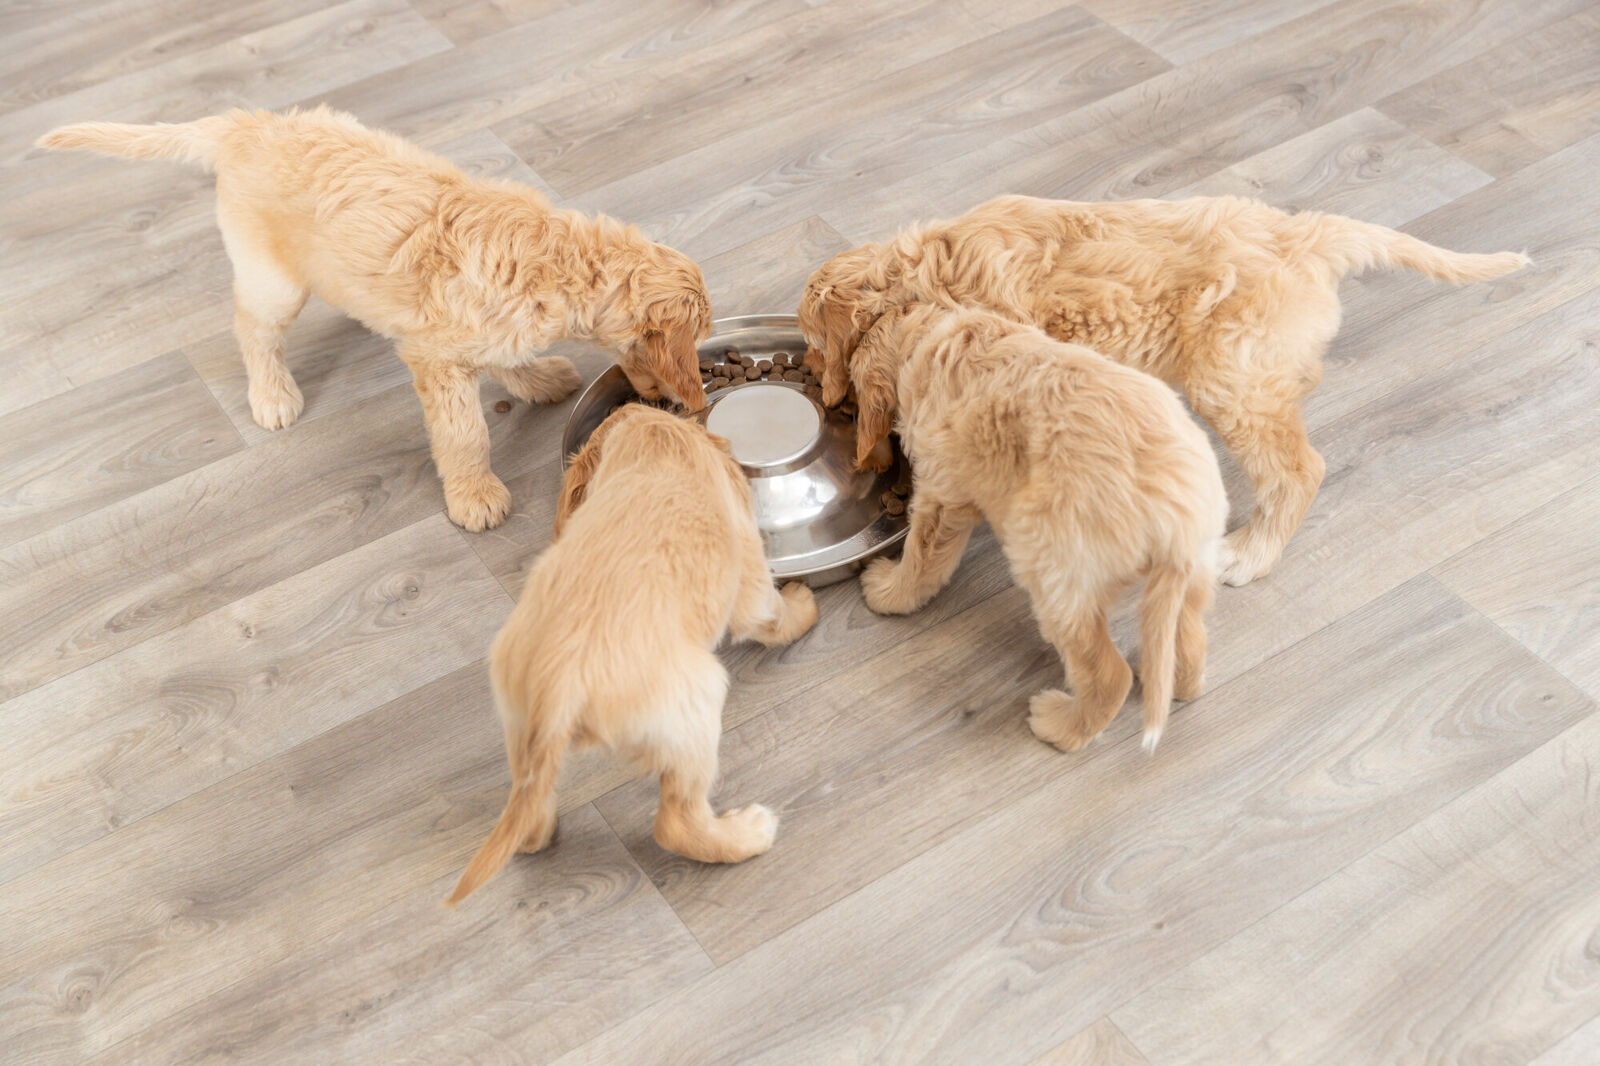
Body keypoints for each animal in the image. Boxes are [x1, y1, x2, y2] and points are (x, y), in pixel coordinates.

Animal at [38, 106, 712, 532]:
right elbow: (464, 432)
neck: (556, 260)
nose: (686, 404)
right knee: (252, 327)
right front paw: (474, 495)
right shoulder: (437, 359)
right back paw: (272, 393)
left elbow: (506, 357)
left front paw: (539, 378)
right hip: (274, 280)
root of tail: (247, 124)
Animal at [446, 404, 818, 904]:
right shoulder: (749, 575)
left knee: (530, 809)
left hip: (515, 721)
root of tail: (557, 690)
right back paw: (747, 833)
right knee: (676, 822)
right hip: (695, 706)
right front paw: (803, 606)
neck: (657, 437)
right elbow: (770, 614)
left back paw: (540, 827)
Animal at [799, 194, 1527, 584]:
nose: (826, 397)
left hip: (1231, 377)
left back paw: (1250, 554)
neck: (925, 273)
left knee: (1298, 470)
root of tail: (1308, 235)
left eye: (812, 342)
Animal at [846, 304, 1227, 754]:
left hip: (1053, 570)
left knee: (1107, 675)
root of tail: (1177, 526)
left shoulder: (942, 491)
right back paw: (1173, 680)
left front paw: (889, 591)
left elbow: (923, 557)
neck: (934, 336)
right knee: (1191, 634)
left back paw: (1059, 725)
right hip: (1196, 568)